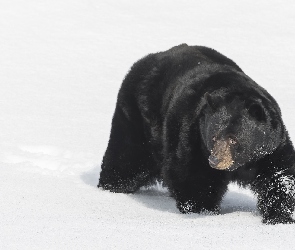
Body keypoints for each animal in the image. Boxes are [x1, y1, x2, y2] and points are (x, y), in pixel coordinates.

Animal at [99, 43, 295, 225]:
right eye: (214, 136)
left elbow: (280, 176)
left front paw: (280, 217)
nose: (215, 160)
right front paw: (202, 211)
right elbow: (193, 176)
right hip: (136, 120)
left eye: (233, 139)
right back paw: (110, 187)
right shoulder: (193, 137)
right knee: (126, 158)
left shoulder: (270, 148)